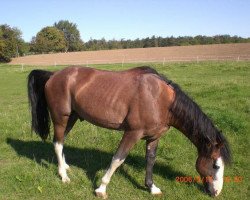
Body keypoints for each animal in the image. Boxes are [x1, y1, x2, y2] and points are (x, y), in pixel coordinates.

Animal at [27, 66, 230, 198]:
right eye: (216, 165)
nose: (216, 192)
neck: (161, 99)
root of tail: (53, 75)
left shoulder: (154, 137)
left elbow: (150, 160)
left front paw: (151, 187)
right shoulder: (132, 133)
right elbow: (118, 159)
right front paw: (101, 189)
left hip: (72, 118)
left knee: (61, 142)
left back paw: (66, 167)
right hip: (61, 118)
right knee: (57, 142)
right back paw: (64, 176)